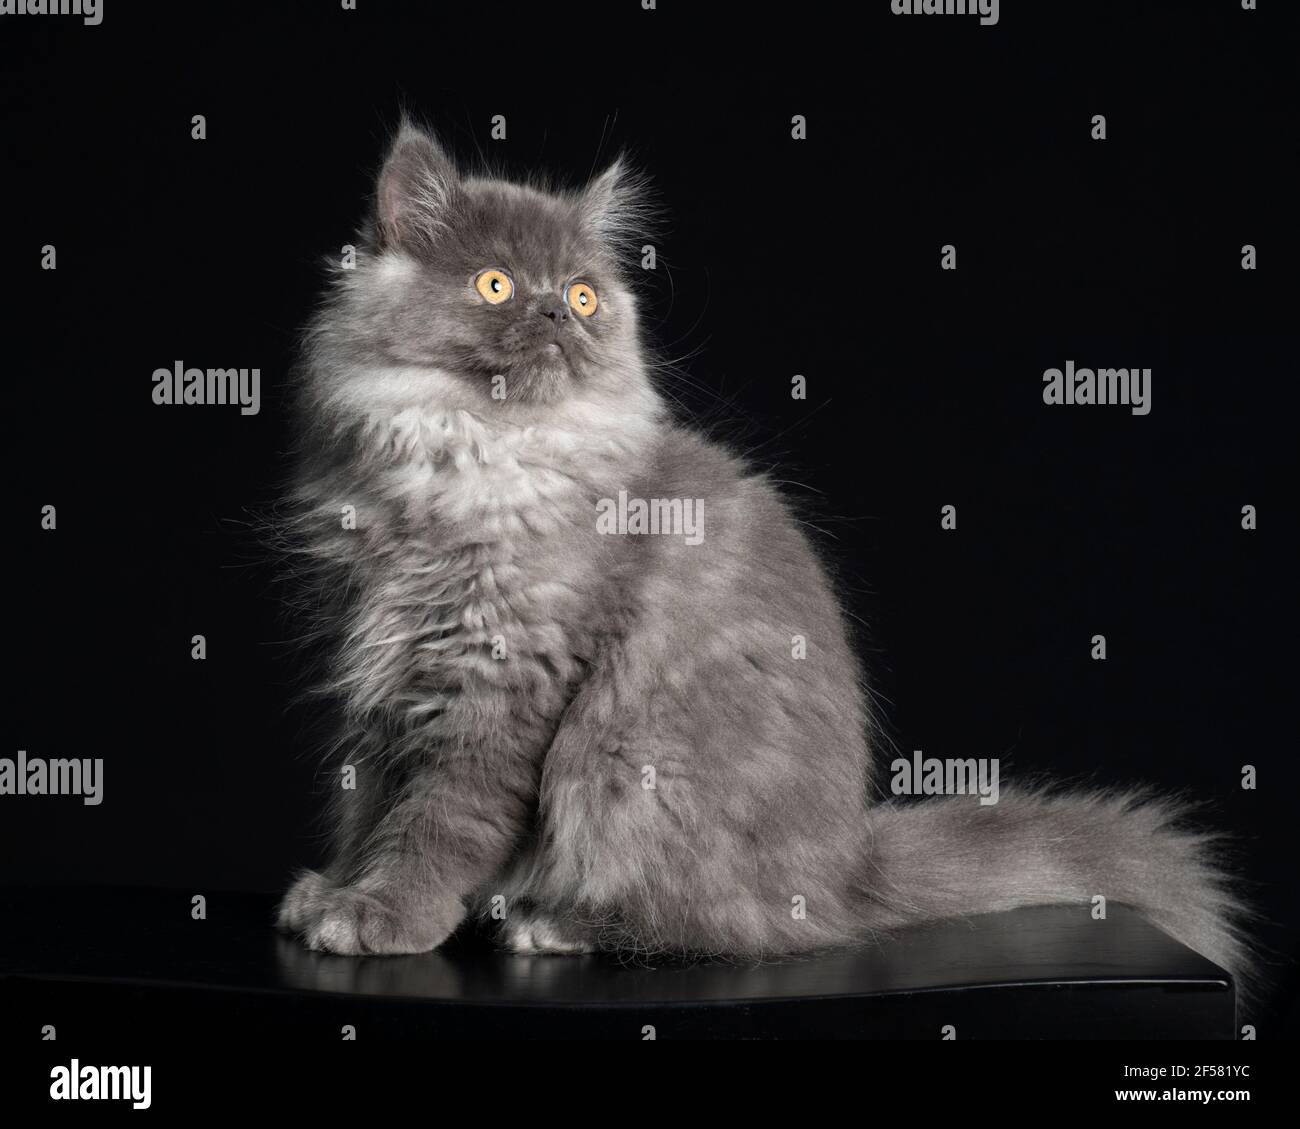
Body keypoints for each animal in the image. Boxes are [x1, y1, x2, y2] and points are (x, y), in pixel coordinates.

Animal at [274, 119, 1248, 972]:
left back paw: (554, 923)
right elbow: (369, 804)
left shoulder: (502, 681)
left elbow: (439, 819)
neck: (468, 461)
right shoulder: (378, 671)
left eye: (584, 295)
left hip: (623, 762)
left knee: (721, 927)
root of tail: (849, 870)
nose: (559, 314)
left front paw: (385, 913)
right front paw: (334, 890)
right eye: (495, 285)